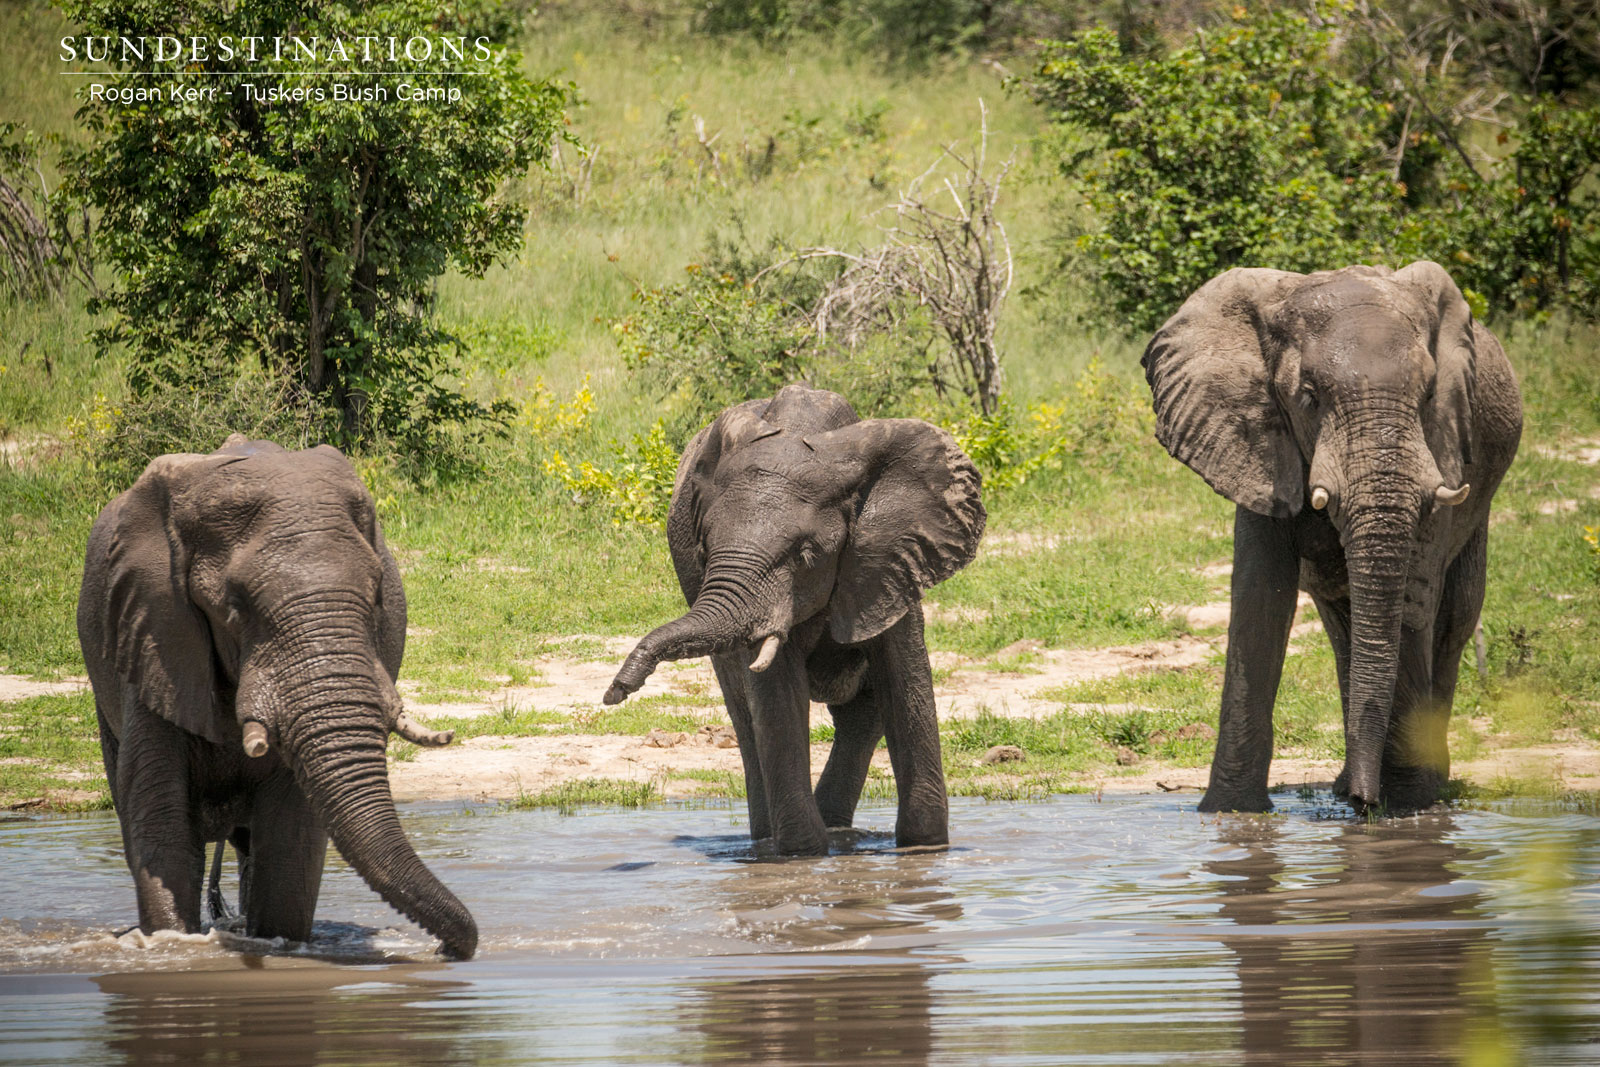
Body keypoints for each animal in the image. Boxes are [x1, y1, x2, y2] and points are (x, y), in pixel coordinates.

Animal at [77, 435, 477, 958]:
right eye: (234, 607)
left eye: (378, 598)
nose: (445, 950)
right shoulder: (153, 633)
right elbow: (162, 825)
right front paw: (173, 946)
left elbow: (290, 833)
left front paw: (278, 946)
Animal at [602, 384, 986, 855]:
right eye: (704, 548)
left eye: (805, 555)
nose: (616, 691)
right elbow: (776, 696)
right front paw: (803, 855)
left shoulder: (890, 559)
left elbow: (905, 681)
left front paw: (923, 850)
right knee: (747, 719)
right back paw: (777, 842)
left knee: (863, 714)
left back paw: (839, 835)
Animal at [1143, 261, 1522, 815]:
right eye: (1308, 397)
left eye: (1430, 394)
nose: (1365, 806)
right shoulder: (1256, 443)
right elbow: (1260, 600)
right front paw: (1232, 813)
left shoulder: (1444, 450)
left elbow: (1411, 598)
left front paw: (1405, 809)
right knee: (1344, 620)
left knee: (1452, 619)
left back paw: (1418, 787)